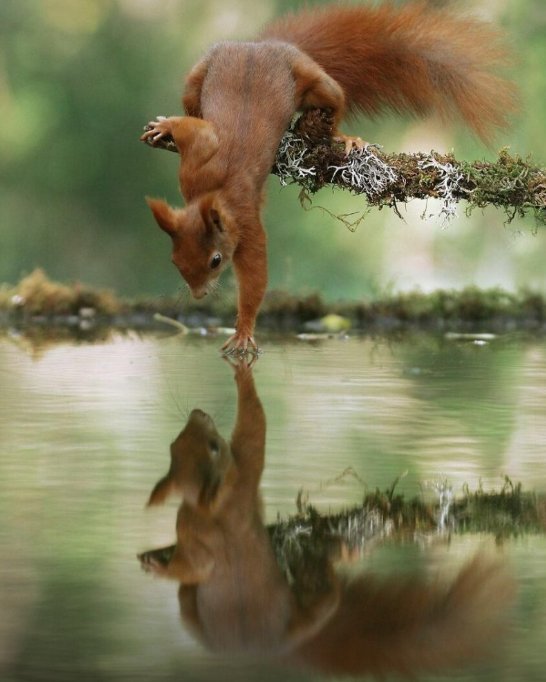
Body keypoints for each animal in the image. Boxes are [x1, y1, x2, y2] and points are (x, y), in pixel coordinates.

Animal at [138, 356, 512, 676]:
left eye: (177, 444)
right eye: (210, 446)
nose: (198, 413)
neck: (210, 507)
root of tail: (279, 650)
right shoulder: (240, 483)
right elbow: (254, 428)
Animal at [140, 1, 516, 350]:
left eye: (216, 260)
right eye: (174, 259)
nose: (198, 295)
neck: (212, 193)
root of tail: (264, 45)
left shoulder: (245, 222)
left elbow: (256, 278)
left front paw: (244, 331)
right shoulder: (195, 166)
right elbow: (196, 130)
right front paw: (165, 126)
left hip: (314, 81)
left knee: (334, 101)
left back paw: (343, 137)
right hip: (199, 76)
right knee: (192, 103)